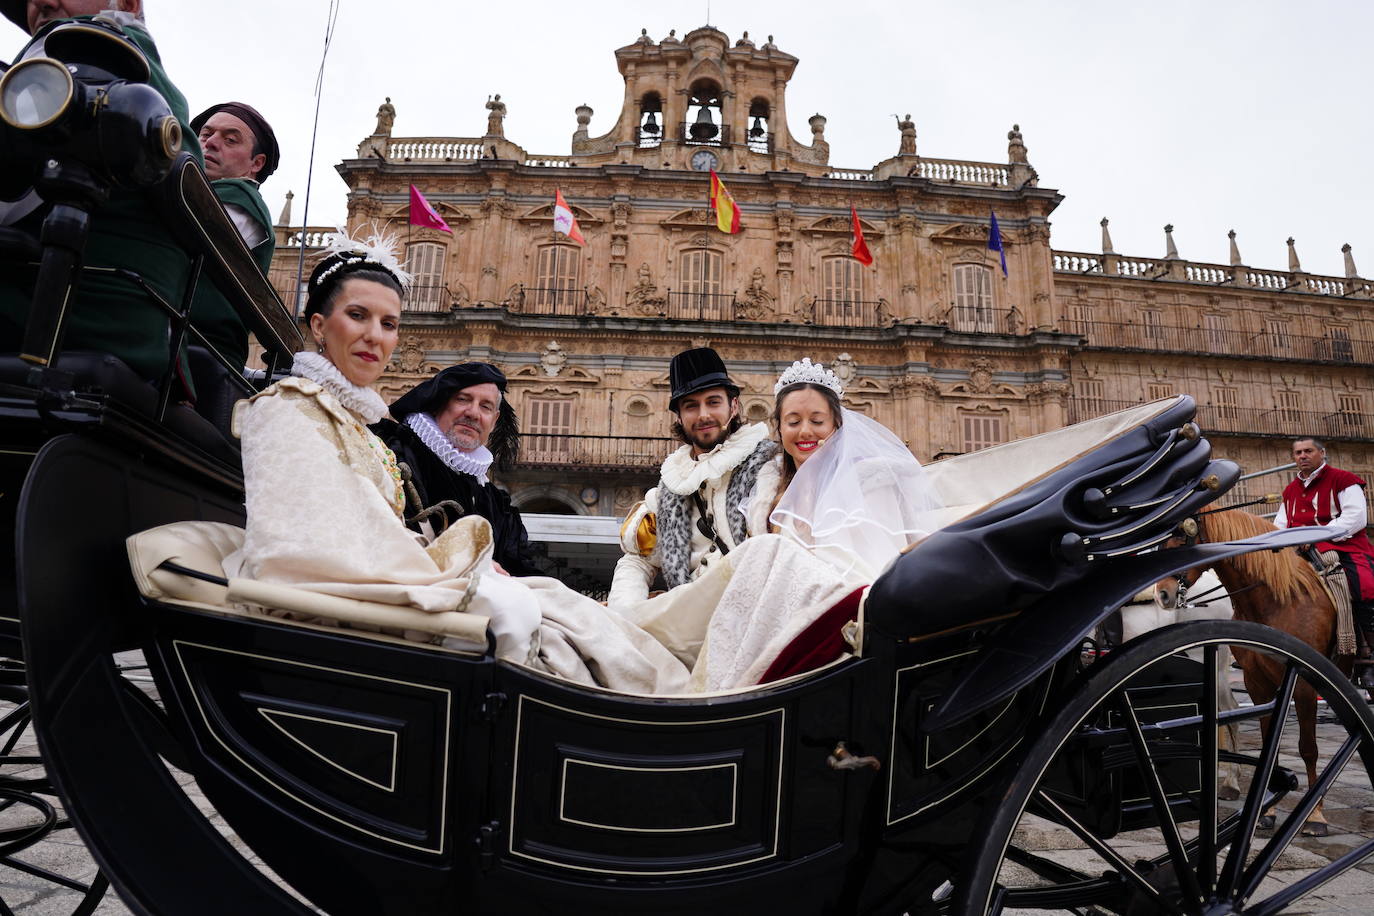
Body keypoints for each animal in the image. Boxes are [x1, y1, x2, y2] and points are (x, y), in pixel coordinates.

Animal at [1159, 508, 1341, 840]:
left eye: (1182, 537)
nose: (1162, 595)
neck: (1278, 599)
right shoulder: (1257, 683)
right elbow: (1270, 745)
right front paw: (1266, 813)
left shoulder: (1305, 684)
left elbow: (1308, 748)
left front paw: (1315, 816)